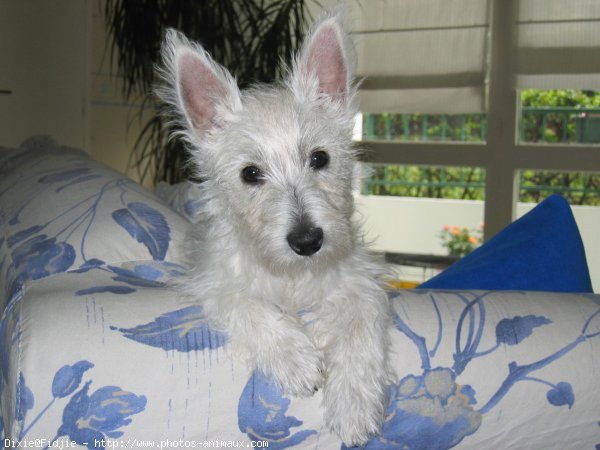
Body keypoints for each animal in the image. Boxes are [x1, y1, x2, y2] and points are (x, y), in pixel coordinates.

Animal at [159, 10, 392, 446]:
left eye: (320, 158)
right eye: (250, 174)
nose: (308, 241)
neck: (292, 276)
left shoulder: (357, 279)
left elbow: (358, 326)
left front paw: (354, 404)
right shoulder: (213, 280)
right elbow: (247, 305)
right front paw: (295, 359)